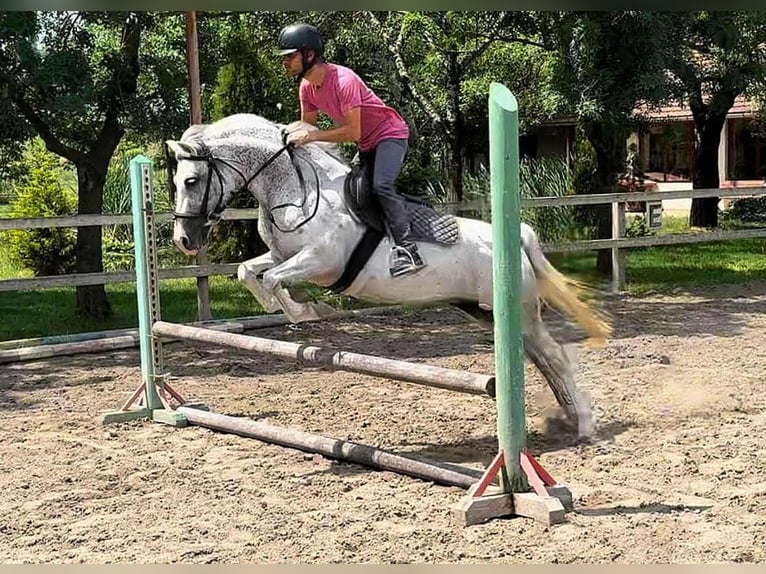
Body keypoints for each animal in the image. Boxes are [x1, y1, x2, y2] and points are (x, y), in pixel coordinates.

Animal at [165, 113, 611, 438]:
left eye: (192, 180)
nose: (184, 240)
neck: (296, 192)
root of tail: (518, 235)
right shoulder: (280, 255)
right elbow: (249, 272)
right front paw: (293, 310)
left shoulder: (321, 261)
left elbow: (275, 281)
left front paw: (312, 311)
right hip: (486, 312)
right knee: (541, 358)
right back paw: (566, 417)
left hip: (518, 309)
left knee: (554, 356)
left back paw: (584, 426)